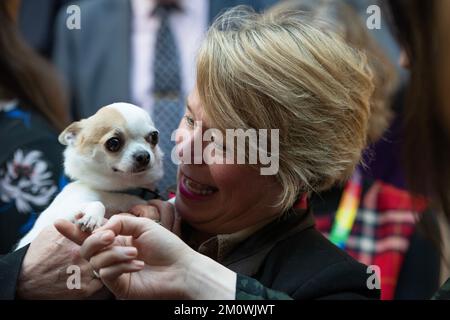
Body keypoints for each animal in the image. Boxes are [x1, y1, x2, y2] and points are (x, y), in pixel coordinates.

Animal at [17, 104, 166, 249]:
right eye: (114, 143)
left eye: (154, 137)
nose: (143, 155)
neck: (119, 191)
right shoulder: (62, 213)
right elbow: (98, 203)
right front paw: (92, 217)